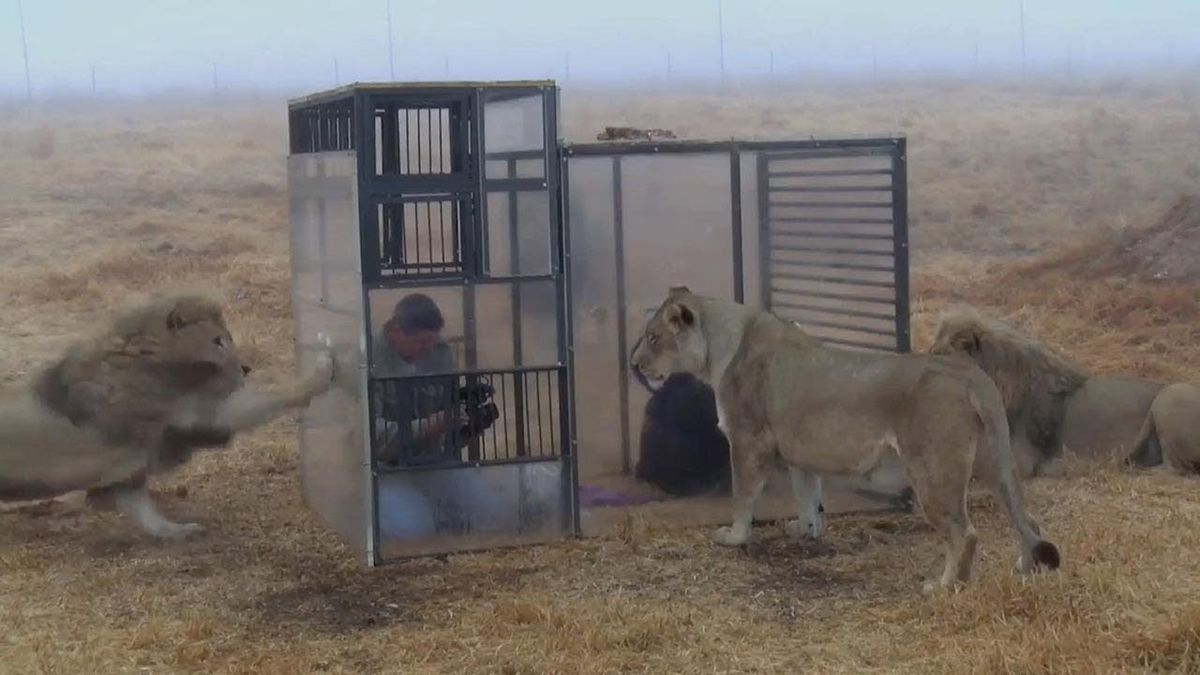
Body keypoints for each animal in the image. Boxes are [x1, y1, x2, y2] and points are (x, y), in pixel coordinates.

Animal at [0, 291, 335, 540]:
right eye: (218, 341)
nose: (245, 368)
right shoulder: (194, 415)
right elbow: (271, 396)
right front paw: (322, 369)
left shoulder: (130, 466)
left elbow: (143, 511)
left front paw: (177, 532)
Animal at [629, 287, 1060, 591]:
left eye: (653, 337)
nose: (634, 364)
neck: (719, 347)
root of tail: (970, 375)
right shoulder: (800, 450)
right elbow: (808, 495)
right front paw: (805, 531)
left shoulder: (748, 440)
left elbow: (743, 495)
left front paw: (734, 537)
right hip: (994, 463)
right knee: (1027, 519)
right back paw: (1024, 570)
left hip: (933, 472)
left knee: (964, 533)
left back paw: (945, 586)